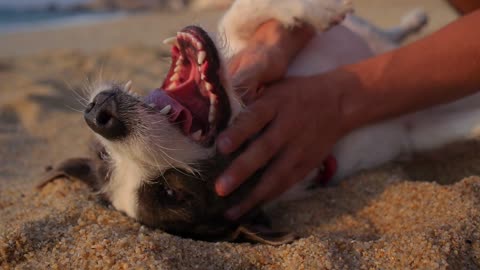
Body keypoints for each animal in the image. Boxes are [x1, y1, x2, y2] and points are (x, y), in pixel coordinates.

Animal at [38, 0, 480, 245]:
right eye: (172, 193)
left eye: (101, 156)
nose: (100, 116)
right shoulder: (410, 131)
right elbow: (462, 123)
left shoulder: (249, 50)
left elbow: (241, 14)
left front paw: (319, 10)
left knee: (387, 32)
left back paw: (412, 19)